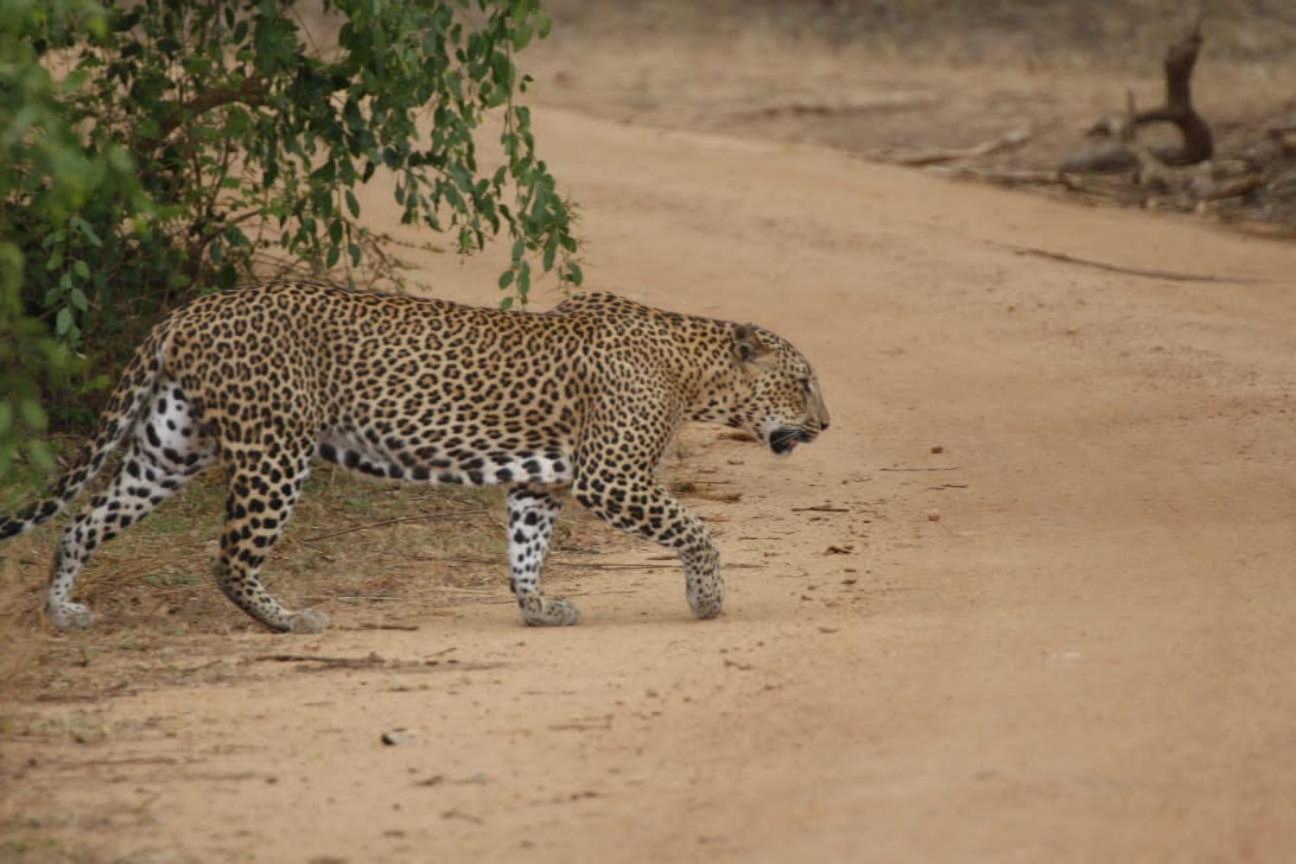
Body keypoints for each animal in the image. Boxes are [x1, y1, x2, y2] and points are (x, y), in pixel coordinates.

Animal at [0, 281, 829, 632]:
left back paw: (62, 610)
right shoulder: (610, 478)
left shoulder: (545, 482)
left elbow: (525, 551)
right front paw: (707, 598)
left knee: (83, 521)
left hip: (172, 446)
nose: (825, 423)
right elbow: (697, 530)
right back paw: (289, 620)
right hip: (276, 449)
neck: (694, 370)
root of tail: (191, 309)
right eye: (803, 379)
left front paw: (538, 609)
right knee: (229, 557)